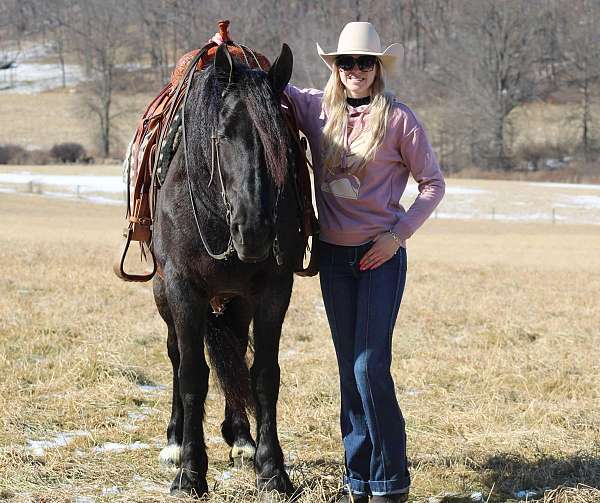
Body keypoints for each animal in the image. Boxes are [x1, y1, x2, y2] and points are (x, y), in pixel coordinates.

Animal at [151, 41, 304, 498]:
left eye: (281, 141)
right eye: (222, 136)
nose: (253, 230)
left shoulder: (274, 290)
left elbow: (263, 375)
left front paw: (272, 470)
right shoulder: (183, 288)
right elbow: (191, 375)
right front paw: (190, 471)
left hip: (236, 301)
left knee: (234, 350)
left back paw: (241, 439)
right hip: (164, 296)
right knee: (175, 355)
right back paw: (174, 441)